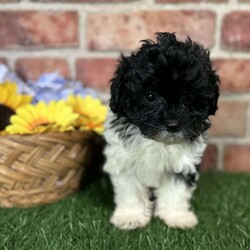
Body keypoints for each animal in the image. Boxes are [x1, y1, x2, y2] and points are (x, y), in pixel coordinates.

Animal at [103, 32, 219, 229]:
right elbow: (130, 189)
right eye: (150, 96)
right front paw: (130, 216)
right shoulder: (124, 160)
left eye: (189, 99)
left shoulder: (183, 164)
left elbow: (176, 190)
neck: (156, 141)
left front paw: (177, 216)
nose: (172, 125)